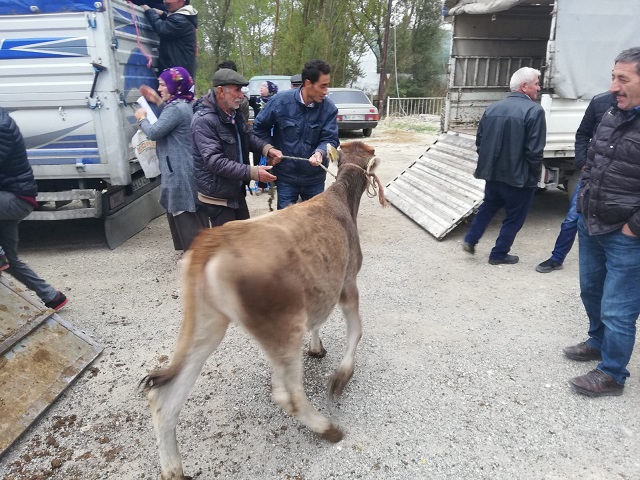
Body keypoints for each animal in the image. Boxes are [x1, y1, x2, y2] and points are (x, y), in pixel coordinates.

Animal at [142, 141, 388, 478]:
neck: (341, 198)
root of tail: (212, 240)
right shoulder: (348, 283)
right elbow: (357, 330)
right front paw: (342, 376)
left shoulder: (322, 286)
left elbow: (318, 321)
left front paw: (317, 348)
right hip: (283, 322)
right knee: (289, 394)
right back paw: (328, 429)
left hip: (207, 323)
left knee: (166, 398)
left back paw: (173, 469)